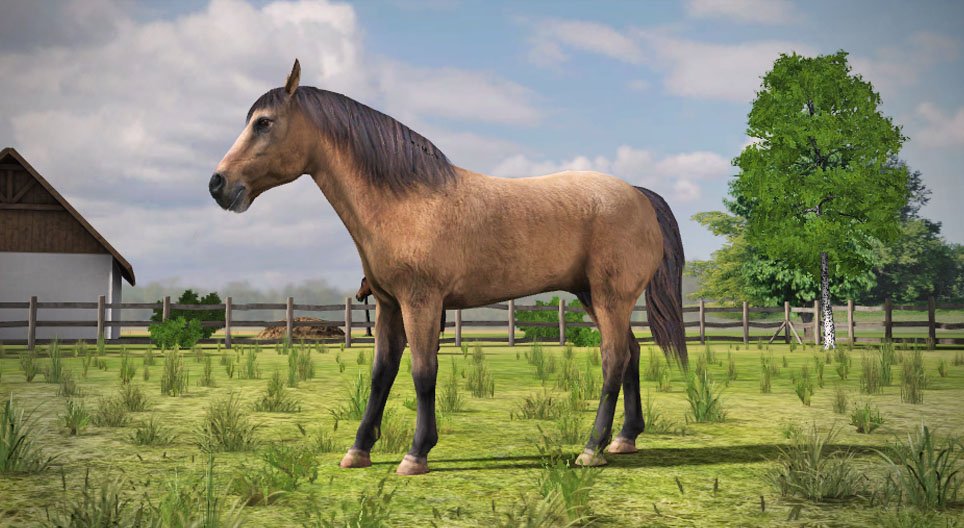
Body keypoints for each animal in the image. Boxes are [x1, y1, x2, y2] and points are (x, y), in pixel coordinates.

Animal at [210, 60, 687, 476]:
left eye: (264, 122)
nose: (218, 184)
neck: (406, 201)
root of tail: (639, 195)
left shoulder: (421, 302)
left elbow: (423, 372)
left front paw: (416, 454)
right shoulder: (388, 305)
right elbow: (382, 373)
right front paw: (359, 450)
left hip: (610, 297)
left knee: (613, 358)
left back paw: (591, 449)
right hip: (594, 297)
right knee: (632, 354)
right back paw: (624, 439)